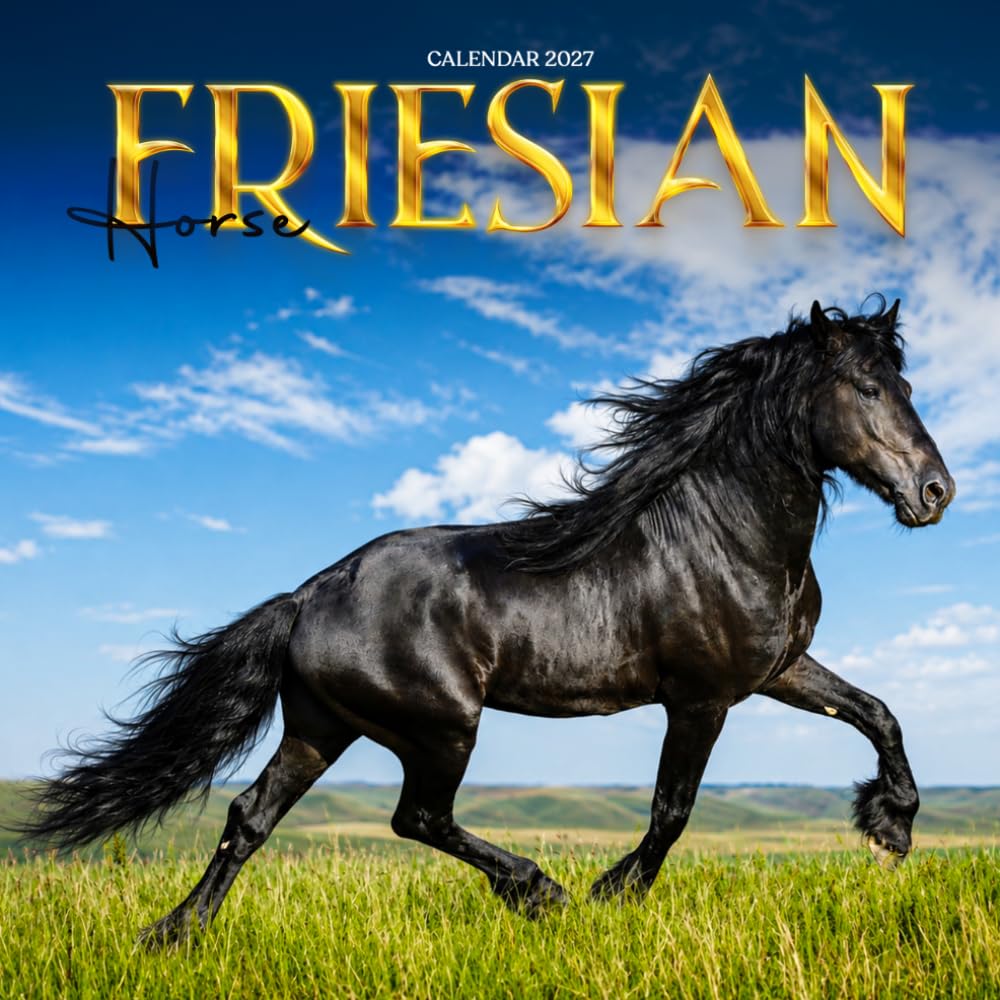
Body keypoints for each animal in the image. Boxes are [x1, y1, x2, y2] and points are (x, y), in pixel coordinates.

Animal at [15, 297, 955, 946]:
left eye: (906, 384)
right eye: (868, 388)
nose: (936, 491)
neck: (723, 534)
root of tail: (309, 596)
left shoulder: (777, 671)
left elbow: (879, 713)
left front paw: (891, 827)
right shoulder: (702, 698)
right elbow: (672, 811)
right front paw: (613, 895)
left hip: (322, 726)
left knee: (251, 816)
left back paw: (173, 935)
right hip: (438, 727)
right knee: (416, 820)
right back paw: (540, 891)